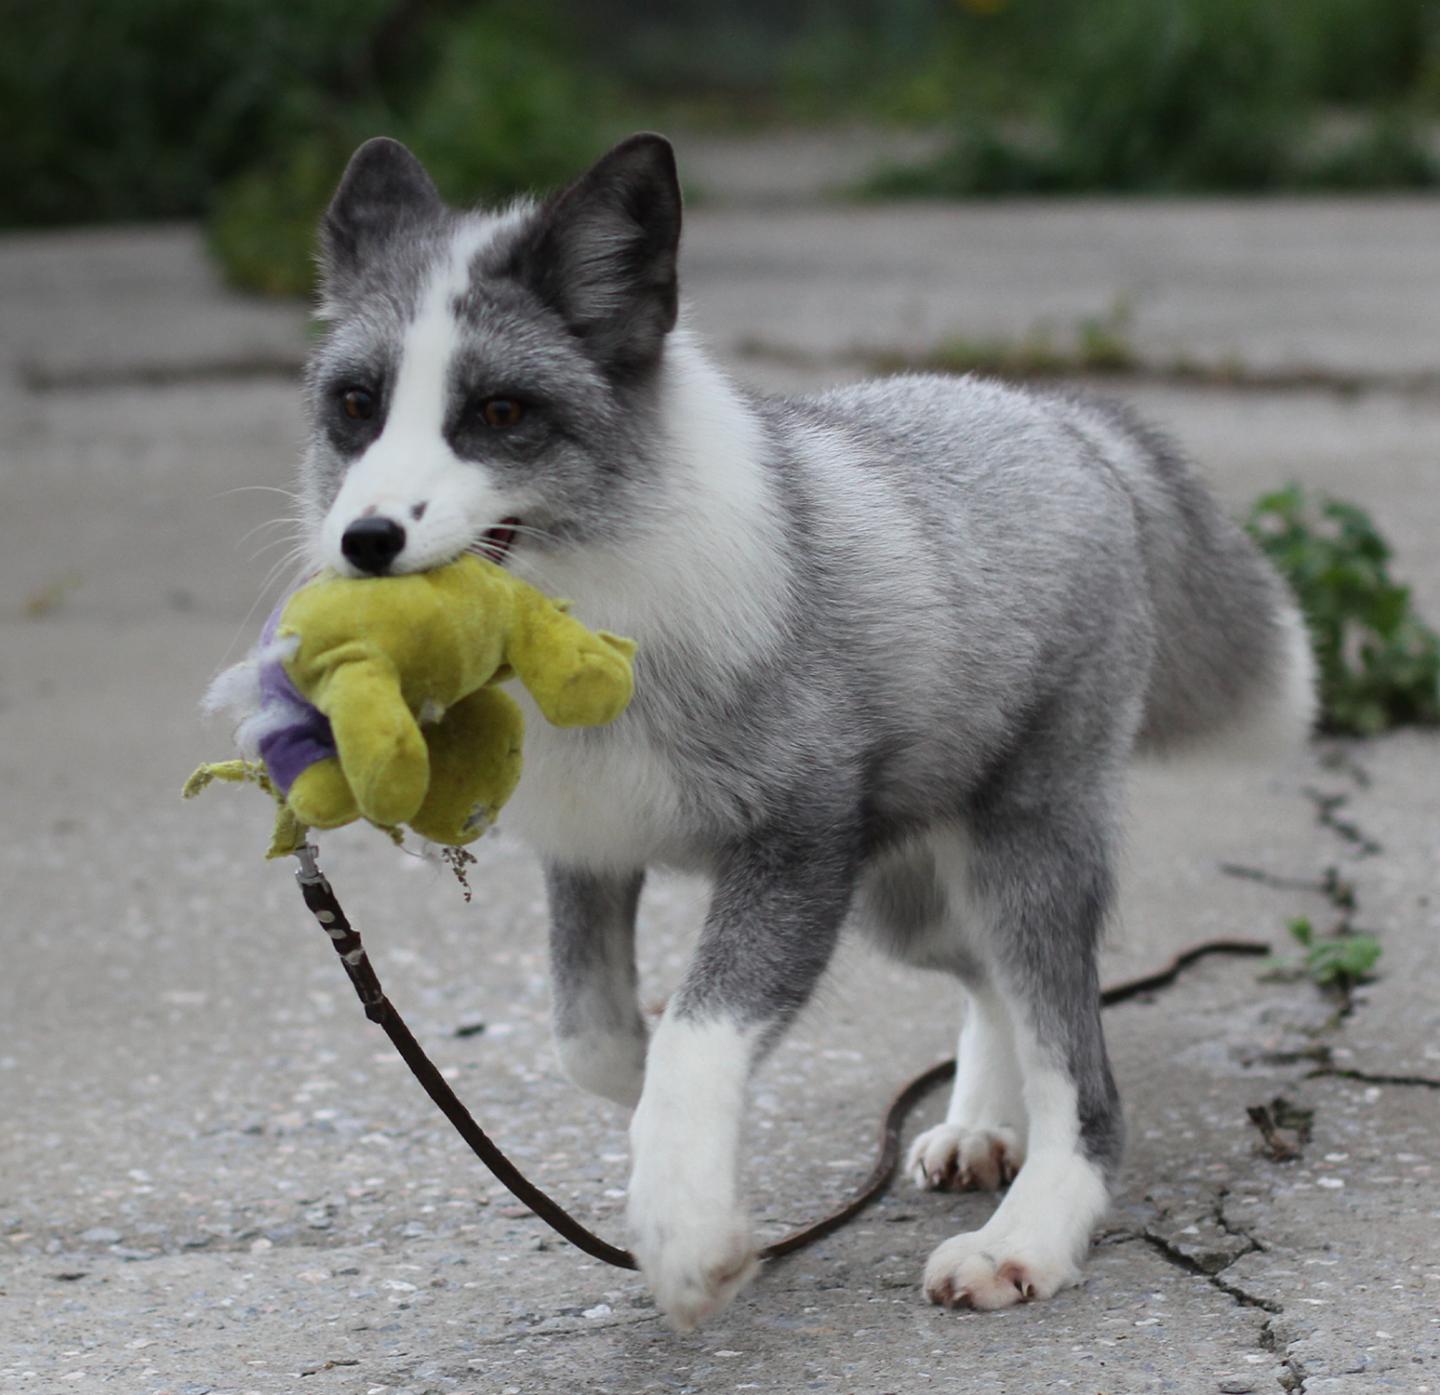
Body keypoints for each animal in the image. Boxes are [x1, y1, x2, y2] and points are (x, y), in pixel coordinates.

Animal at [241, 128, 1313, 1330]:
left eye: (501, 414)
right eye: (357, 405)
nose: (366, 540)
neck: (597, 605)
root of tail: (1058, 418)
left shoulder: (796, 846)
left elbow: (698, 1038)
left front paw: (690, 1234)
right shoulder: (593, 851)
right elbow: (595, 1041)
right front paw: (666, 1150)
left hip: (1019, 846)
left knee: (1079, 1067)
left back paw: (1026, 1232)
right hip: (905, 895)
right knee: (990, 981)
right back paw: (983, 1124)